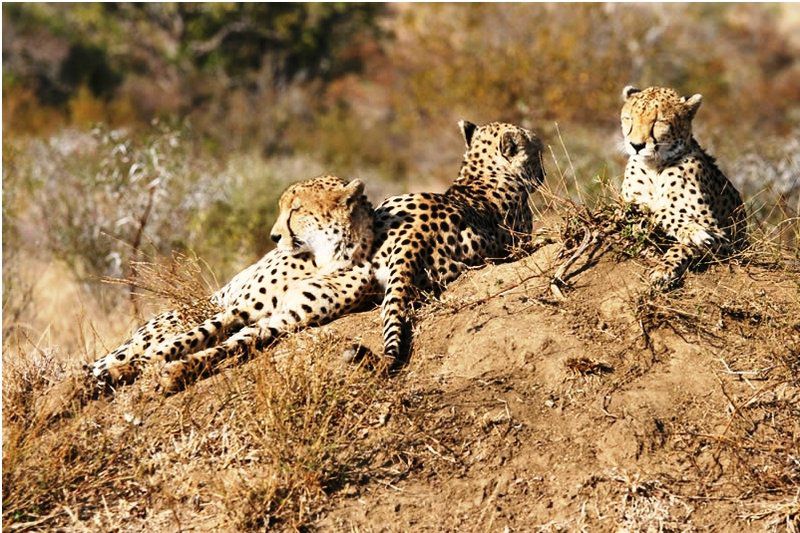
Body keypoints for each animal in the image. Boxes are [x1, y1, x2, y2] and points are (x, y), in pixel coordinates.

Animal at [89, 175, 376, 390]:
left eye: (296, 209)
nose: (274, 237)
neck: (325, 258)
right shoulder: (238, 309)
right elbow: (187, 339)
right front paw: (127, 369)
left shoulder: (283, 319)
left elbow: (229, 345)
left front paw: (179, 371)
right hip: (171, 321)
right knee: (118, 353)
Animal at [620, 86, 748, 286]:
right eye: (629, 119)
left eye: (658, 121)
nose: (636, 145)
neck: (654, 167)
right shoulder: (625, 208)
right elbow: (644, 211)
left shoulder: (725, 239)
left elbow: (669, 224)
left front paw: (664, 269)